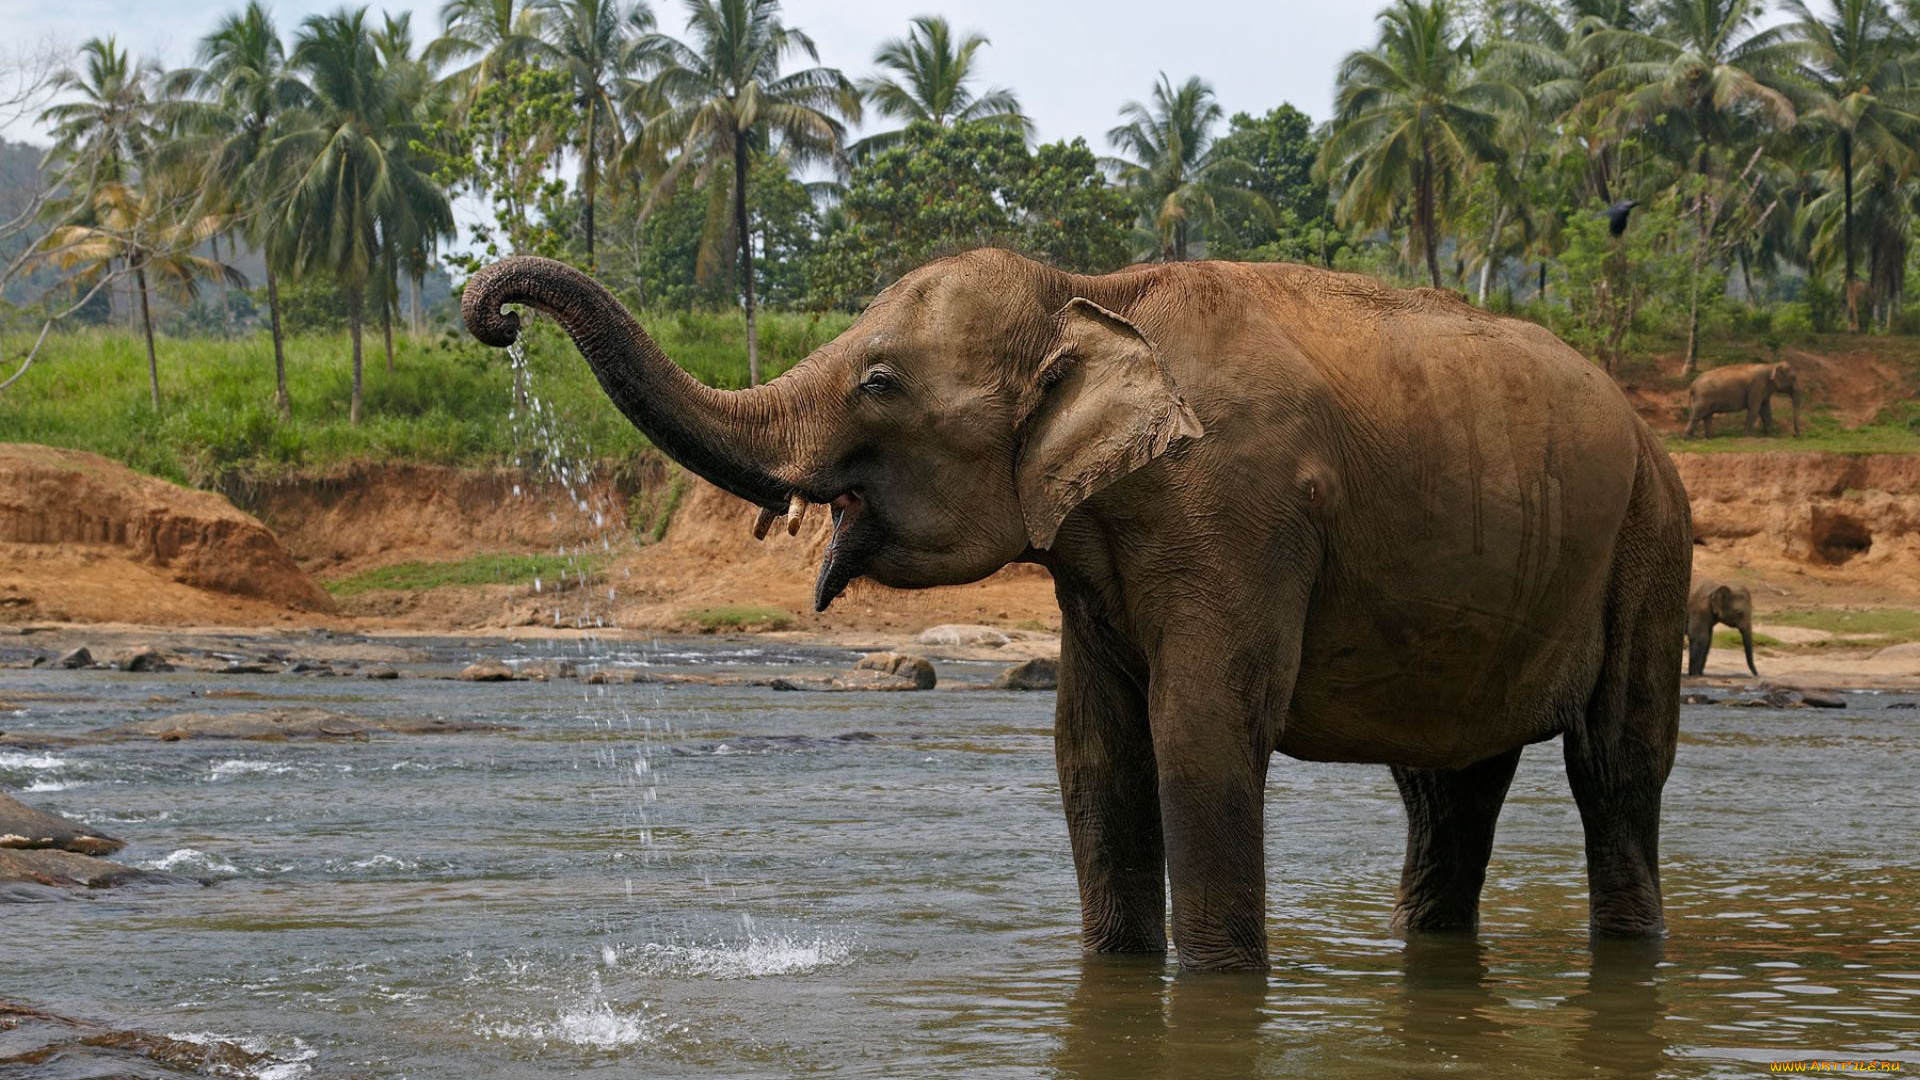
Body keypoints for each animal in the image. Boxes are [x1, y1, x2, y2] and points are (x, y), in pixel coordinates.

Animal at [462, 250, 1693, 971]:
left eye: (878, 384)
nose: (492, 316)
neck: (1092, 288)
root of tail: (1649, 431)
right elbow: (1092, 751)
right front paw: (1116, 974)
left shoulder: (1239, 508)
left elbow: (1200, 735)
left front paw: (1214, 987)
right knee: (1447, 787)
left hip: (1651, 542)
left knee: (1613, 768)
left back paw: (1631, 946)